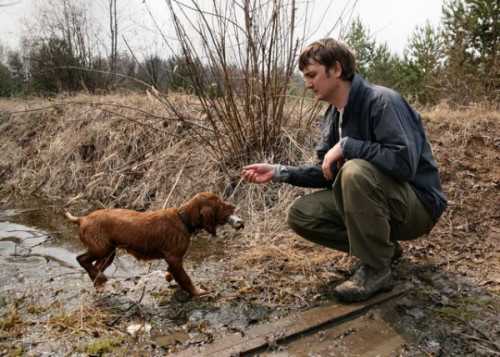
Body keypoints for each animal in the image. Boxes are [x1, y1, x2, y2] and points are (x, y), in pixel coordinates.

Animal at [64, 192, 244, 294]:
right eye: (219, 203)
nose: (234, 205)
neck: (183, 218)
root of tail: (82, 219)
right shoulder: (173, 256)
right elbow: (185, 277)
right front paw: (198, 292)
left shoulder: (172, 259)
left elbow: (174, 272)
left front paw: (169, 276)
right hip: (102, 248)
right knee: (82, 259)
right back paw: (100, 279)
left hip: (109, 252)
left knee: (95, 266)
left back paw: (100, 282)